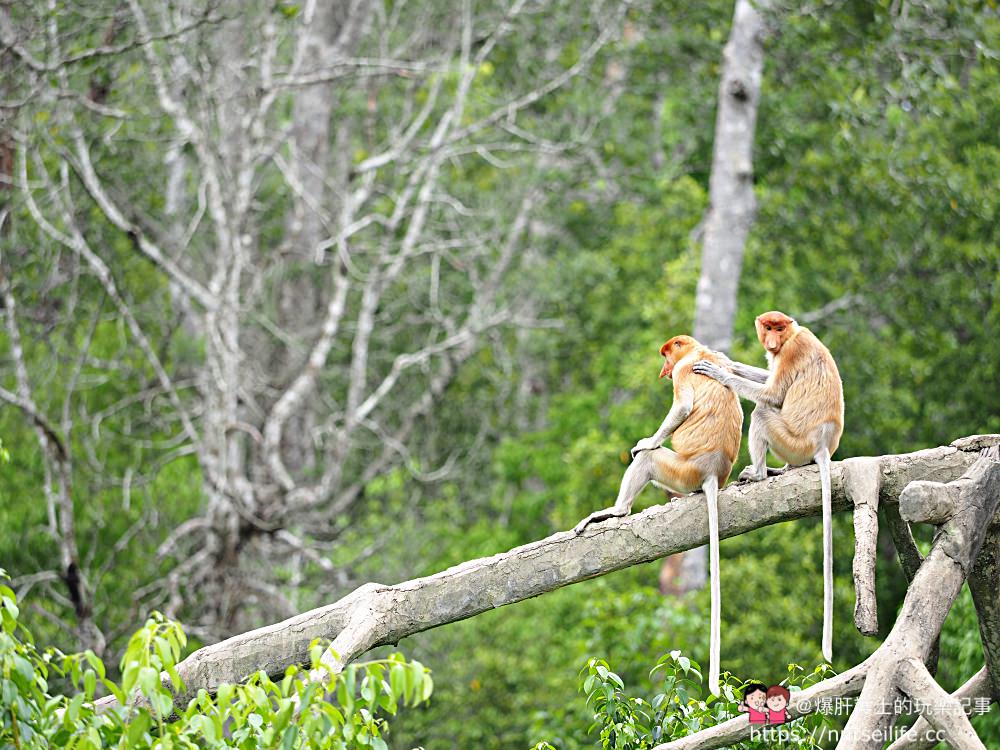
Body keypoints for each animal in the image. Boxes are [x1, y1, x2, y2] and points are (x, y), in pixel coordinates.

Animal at [580, 338, 744, 696]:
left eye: (667, 356)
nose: (663, 370)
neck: (698, 351)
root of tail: (712, 474)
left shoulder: (683, 372)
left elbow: (681, 408)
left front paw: (645, 441)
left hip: (682, 470)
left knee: (649, 460)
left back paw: (617, 509)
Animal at [696, 312, 844, 664]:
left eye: (779, 328)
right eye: (768, 327)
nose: (773, 340)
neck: (792, 337)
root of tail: (822, 446)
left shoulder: (791, 353)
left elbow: (773, 394)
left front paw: (720, 372)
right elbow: (767, 378)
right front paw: (728, 362)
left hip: (793, 441)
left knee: (763, 411)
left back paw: (761, 474)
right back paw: (783, 470)